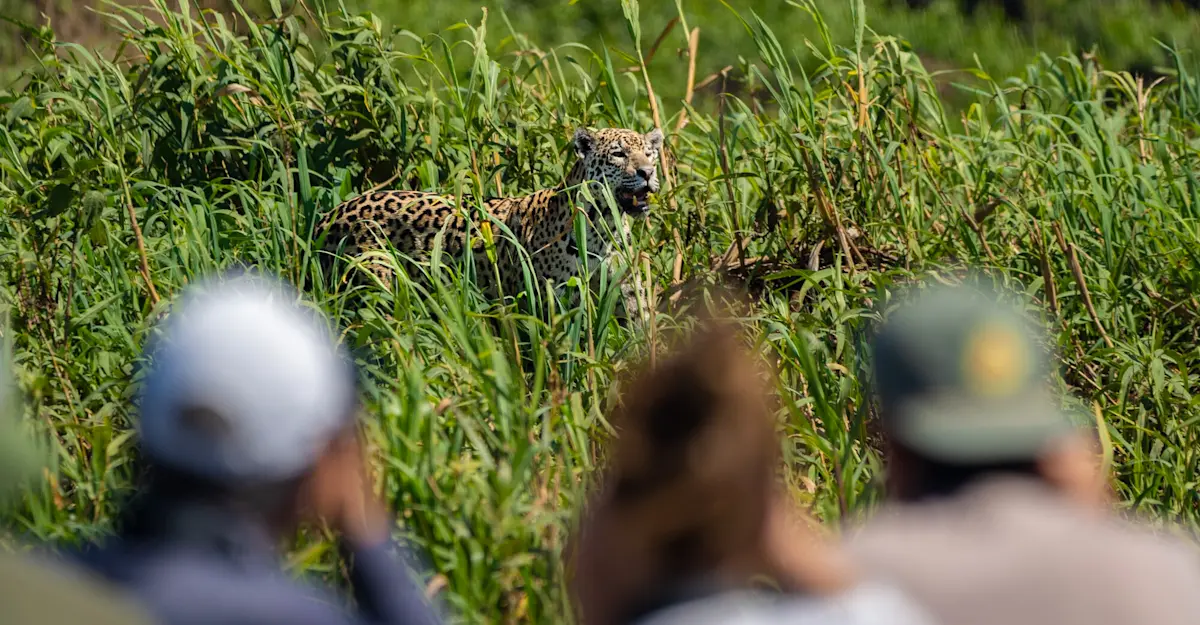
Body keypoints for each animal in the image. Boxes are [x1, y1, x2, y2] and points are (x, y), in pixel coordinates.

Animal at [315, 126, 664, 317]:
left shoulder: (629, 300)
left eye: (650, 154)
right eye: (618, 154)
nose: (647, 172)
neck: (604, 228)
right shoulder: (547, 307)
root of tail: (328, 217)